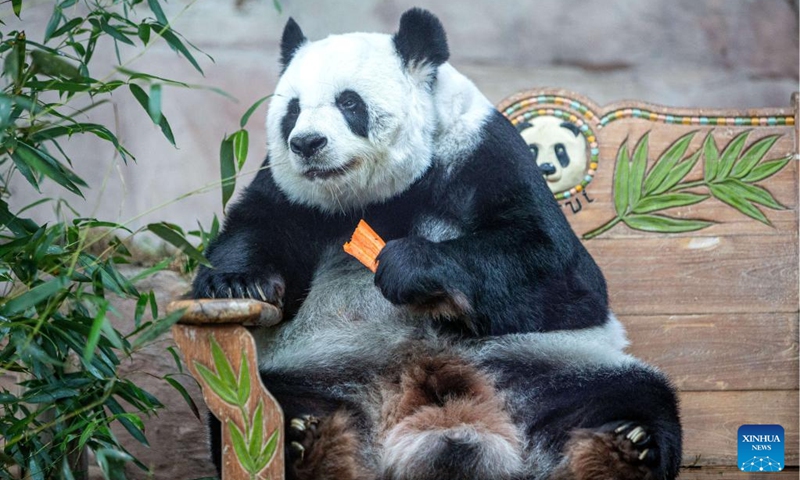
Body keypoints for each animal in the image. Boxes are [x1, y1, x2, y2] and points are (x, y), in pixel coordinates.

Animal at [192, 8, 682, 480]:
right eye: (292, 111)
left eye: (349, 103)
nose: (307, 143)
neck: (373, 199)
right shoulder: (289, 194)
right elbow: (257, 227)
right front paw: (238, 284)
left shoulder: (483, 152)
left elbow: (564, 275)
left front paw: (408, 267)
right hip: (317, 369)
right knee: (264, 411)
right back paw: (304, 444)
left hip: (554, 365)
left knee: (631, 397)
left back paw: (622, 449)